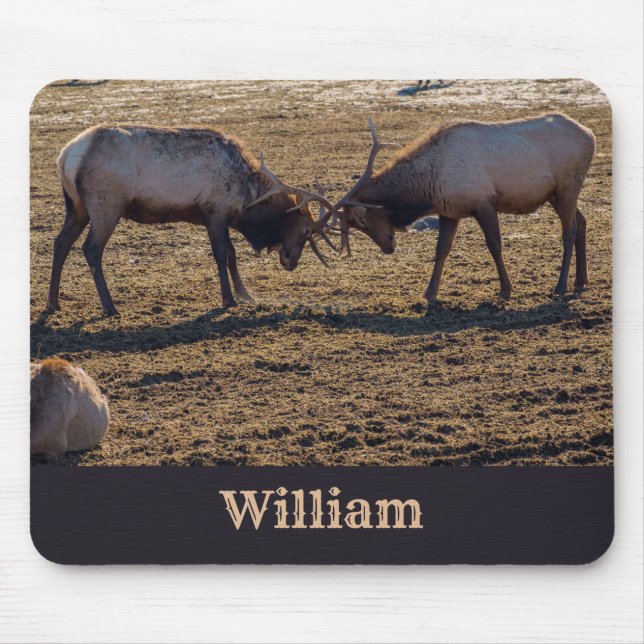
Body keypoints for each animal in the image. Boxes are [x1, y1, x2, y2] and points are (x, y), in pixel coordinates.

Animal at [46, 125, 337, 316]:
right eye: (306, 230)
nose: (291, 261)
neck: (248, 198)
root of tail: (65, 157)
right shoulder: (216, 211)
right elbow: (222, 254)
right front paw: (228, 299)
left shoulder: (218, 216)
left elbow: (232, 255)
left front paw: (245, 295)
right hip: (106, 204)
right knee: (91, 249)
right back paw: (109, 307)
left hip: (77, 207)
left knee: (60, 243)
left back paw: (53, 303)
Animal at [330, 114, 596, 310]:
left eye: (362, 222)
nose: (388, 247)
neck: (428, 186)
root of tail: (590, 134)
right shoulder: (449, 212)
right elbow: (441, 250)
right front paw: (429, 292)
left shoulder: (484, 202)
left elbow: (495, 245)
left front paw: (506, 289)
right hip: (556, 195)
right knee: (582, 221)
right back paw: (581, 280)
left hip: (567, 187)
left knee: (569, 231)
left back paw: (560, 287)